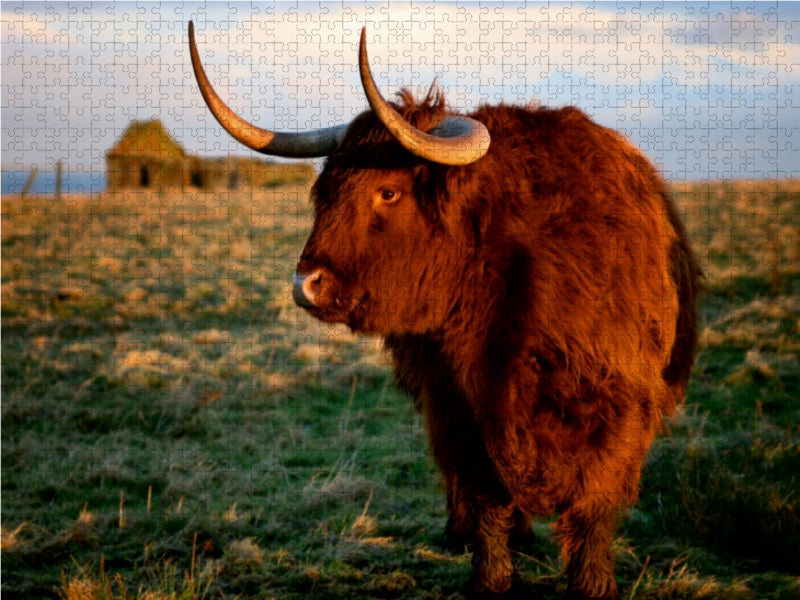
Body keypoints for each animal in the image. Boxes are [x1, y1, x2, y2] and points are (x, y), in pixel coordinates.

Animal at [188, 22, 702, 600]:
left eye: (388, 192)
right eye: (325, 192)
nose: (307, 286)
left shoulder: (617, 405)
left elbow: (592, 507)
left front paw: (593, 585)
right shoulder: (456, 406)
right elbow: (485, 499)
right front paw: (490, 579)